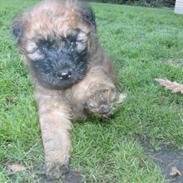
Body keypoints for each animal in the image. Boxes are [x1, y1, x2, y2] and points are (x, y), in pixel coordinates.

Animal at [11, 0, 126, 182]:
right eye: (43, 48)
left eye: (73, 42)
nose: (64, 74)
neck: (66, 88)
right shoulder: (50, 103)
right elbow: (54, 135)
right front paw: (56, 163)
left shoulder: (93, 65)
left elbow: (92, 80)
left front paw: (101, 98)